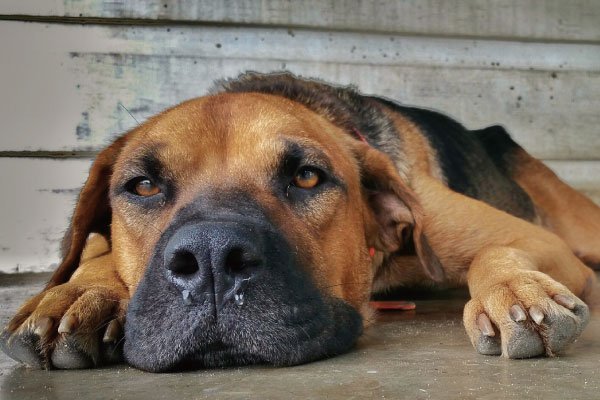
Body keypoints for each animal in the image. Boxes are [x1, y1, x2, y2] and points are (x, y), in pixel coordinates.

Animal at [1, 72, 600, 372]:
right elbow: (94, 252)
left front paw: (516, 292)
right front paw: (78, 293)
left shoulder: (538, 240)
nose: (212, 259)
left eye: (308, 177)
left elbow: (496, 252)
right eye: (143, 186)